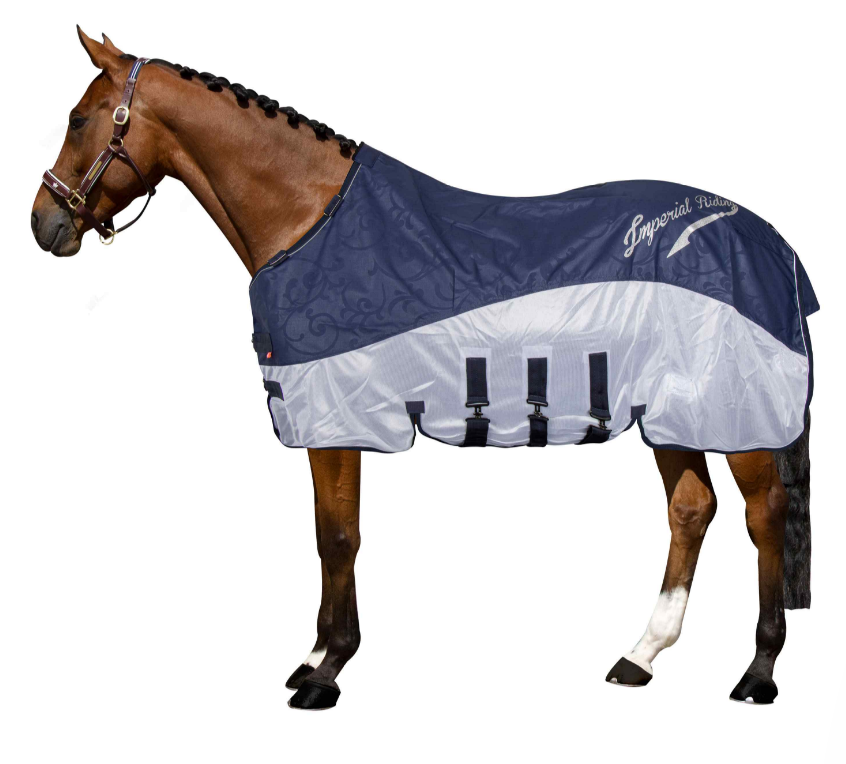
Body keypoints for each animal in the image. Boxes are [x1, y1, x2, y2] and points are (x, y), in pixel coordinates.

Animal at [31, 29, 814, 710]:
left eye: (78, 119)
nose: (44, 223)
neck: (309, 221)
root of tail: (767, 240)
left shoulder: (337, 416)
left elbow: (339, 537)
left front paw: (328, 672)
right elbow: (329, 532)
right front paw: (314, 659)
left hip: (729, 409)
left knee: (765, 514)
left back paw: (759, 671)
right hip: (671, 409)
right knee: (692, 510)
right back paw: (639, 656)